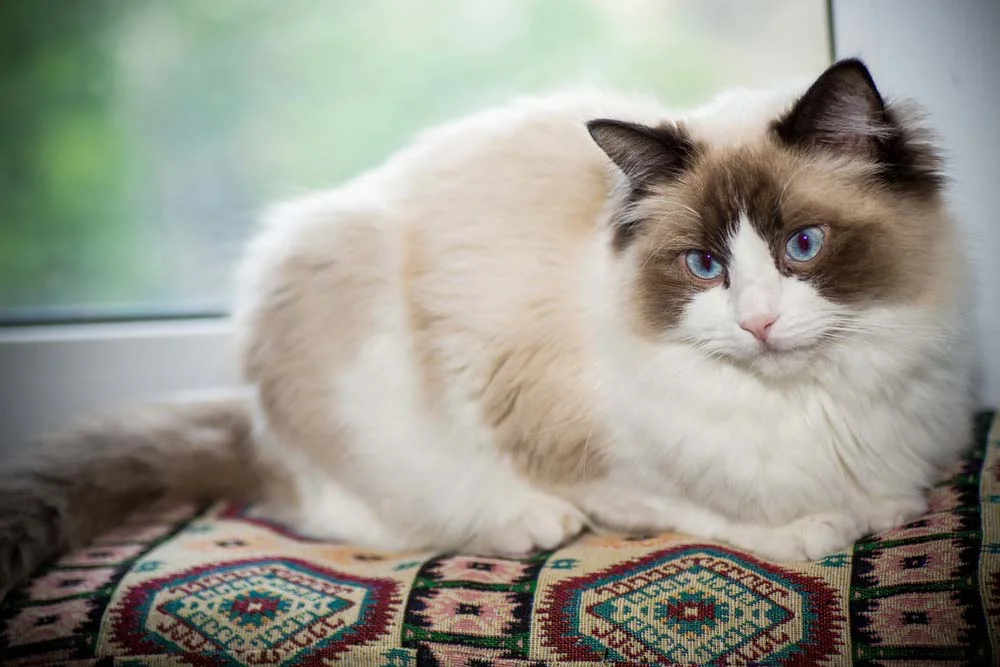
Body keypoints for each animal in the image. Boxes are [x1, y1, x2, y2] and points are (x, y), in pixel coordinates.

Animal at [0, 57, 972, 600]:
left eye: (802, 245)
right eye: (704, 265)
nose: (759, 323)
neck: (812, 400)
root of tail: (251, 415)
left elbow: (891, 495)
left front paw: (881, 507)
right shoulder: (588, 452)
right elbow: (708, 508)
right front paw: (817, 527)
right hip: (350, 339)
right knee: (339, 507)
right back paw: (521, 523)